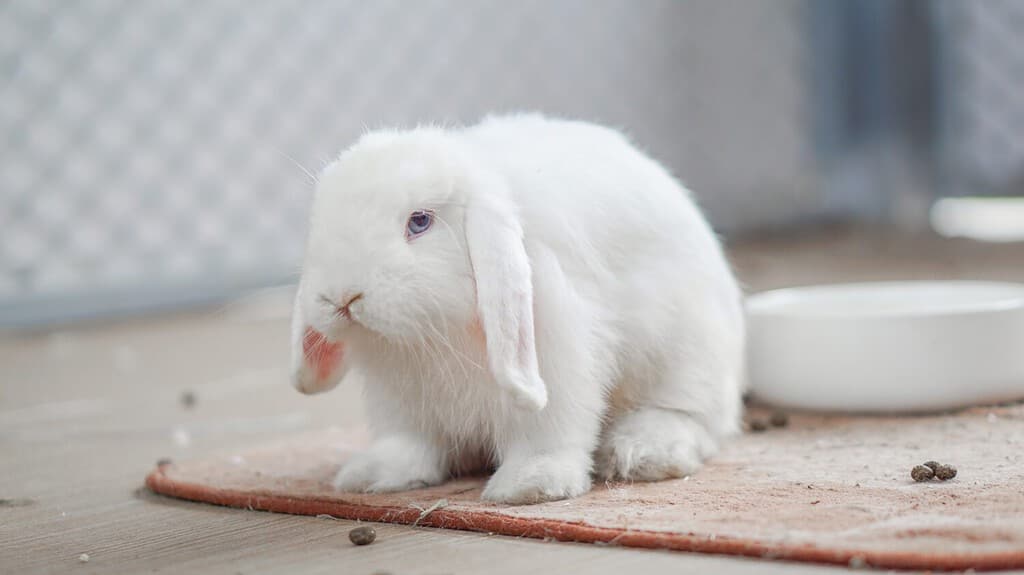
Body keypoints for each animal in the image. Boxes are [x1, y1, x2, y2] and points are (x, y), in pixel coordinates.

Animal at [291, 113, 745, 504]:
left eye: (419, 222)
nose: (341, 297)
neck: (433, 338)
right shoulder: (401, 403)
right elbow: (408, 443)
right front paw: (373, 476)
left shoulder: (558, 363)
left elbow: (546, 432)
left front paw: (531, 486)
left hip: (687, 355)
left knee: (693, 418)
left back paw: (643, 452)